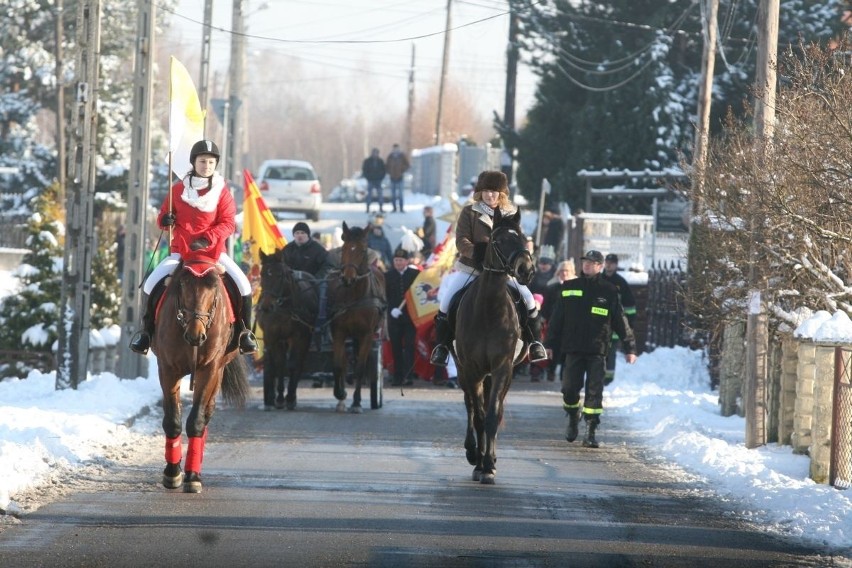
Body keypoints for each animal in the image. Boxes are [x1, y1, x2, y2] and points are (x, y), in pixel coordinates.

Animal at [150, 258, 248, 492]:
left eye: (214, 289)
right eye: (183, 286)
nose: (196, 335)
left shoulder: (209, 369)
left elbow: (196, 420)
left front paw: (192, 477)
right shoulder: (167, 369)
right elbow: (172, 420)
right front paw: (172, 472)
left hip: (219, 371)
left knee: (205, 415)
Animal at [256, 251, 320, 410]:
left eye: (279, 275)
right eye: (262, 273)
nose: (266, 306)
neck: (283, 309)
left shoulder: (298, 336)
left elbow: (292, 364)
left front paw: (289, 397)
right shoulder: (272, 336)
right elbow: (278, 365)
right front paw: (278, 398)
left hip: (304, 338)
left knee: (299, 362)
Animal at [328, 222, 388, 412]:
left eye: (362, 250)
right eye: (345, 247)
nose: (348, 277)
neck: (354, 296)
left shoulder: (367, 334)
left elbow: (361, 367)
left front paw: (356, 402)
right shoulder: (339, 331)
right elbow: (338, 365)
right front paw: (340, 393)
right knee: (345, 361)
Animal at [452, 209, 532, 484]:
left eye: (523, 237)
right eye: (499, 240)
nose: (526, 269)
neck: (489, 310)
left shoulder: (501, 368)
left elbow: (491, 416)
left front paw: (489, 465)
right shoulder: (472, 369)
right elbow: (477, 416)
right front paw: (478, 462)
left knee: (493, 409)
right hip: (464, 371)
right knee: (469, 406)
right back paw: (472, 452)